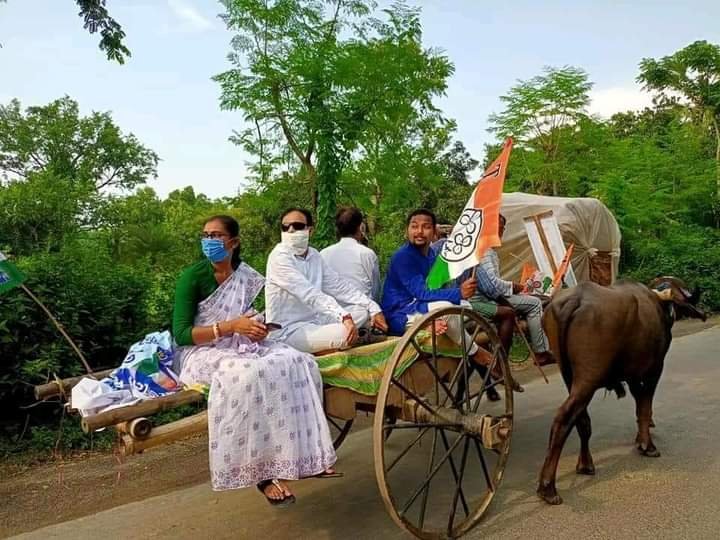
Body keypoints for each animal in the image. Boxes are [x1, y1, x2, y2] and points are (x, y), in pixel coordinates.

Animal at [536, 276, 704, 504]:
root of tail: (576, 299)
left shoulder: (632, 375)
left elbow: (639, 404)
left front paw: (640, 439)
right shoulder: (654, 369)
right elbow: (645, 406)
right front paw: (647, 446)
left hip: (570, 377)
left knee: (581, 419)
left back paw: (585, 464)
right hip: (588, 379)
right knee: (564, 418)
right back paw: (548, 488)